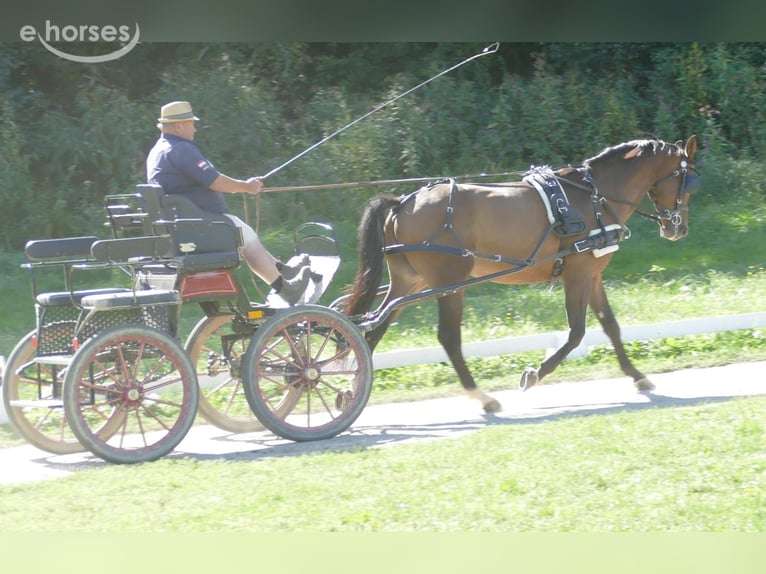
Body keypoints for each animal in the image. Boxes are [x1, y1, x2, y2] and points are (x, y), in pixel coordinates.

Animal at [342, 136, 700, 413]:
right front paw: (534, 375)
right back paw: (483, 398)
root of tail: (403, 201)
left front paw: (637, 375)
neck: (594, 198)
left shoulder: (593, 275)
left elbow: (610, 326)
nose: (678, 228)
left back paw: (350, 389)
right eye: (688, 182)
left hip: (409, 282)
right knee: (448, 338)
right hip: (450, 284)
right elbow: (577, 332)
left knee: (373, 328)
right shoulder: (578, 274)